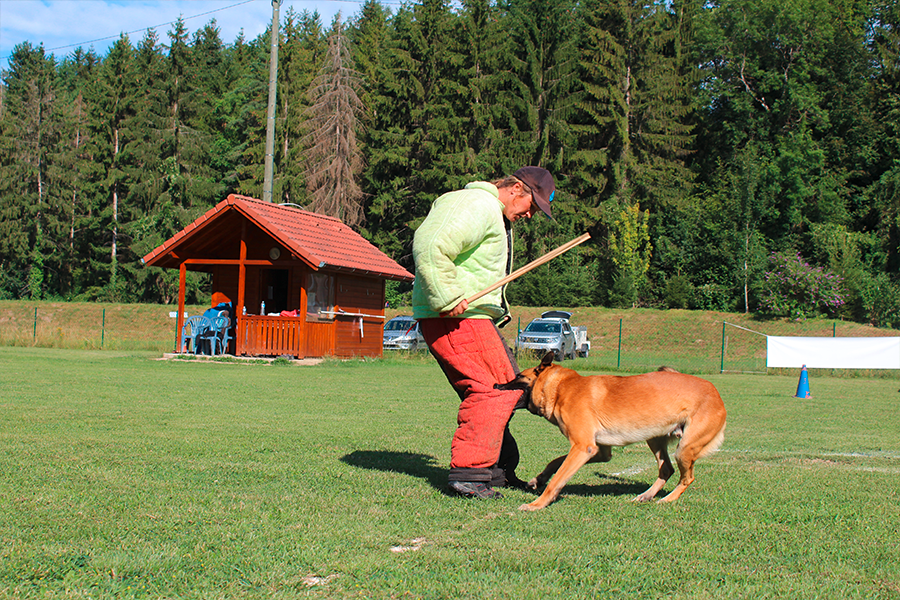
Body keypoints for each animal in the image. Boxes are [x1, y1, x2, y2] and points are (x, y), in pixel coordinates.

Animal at [496, 352, 728, 510]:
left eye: (518, 376)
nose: (496, 385)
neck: (562, 387)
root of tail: (716, 392)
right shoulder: (598, 450)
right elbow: (555, 462)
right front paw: (538, 479)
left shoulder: (583, 447)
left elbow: (557, 480)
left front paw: (537, 504)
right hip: (655, 440)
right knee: (666, 469)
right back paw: (646, 495)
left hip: (685, 448)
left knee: (687, 478)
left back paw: (667, 499)